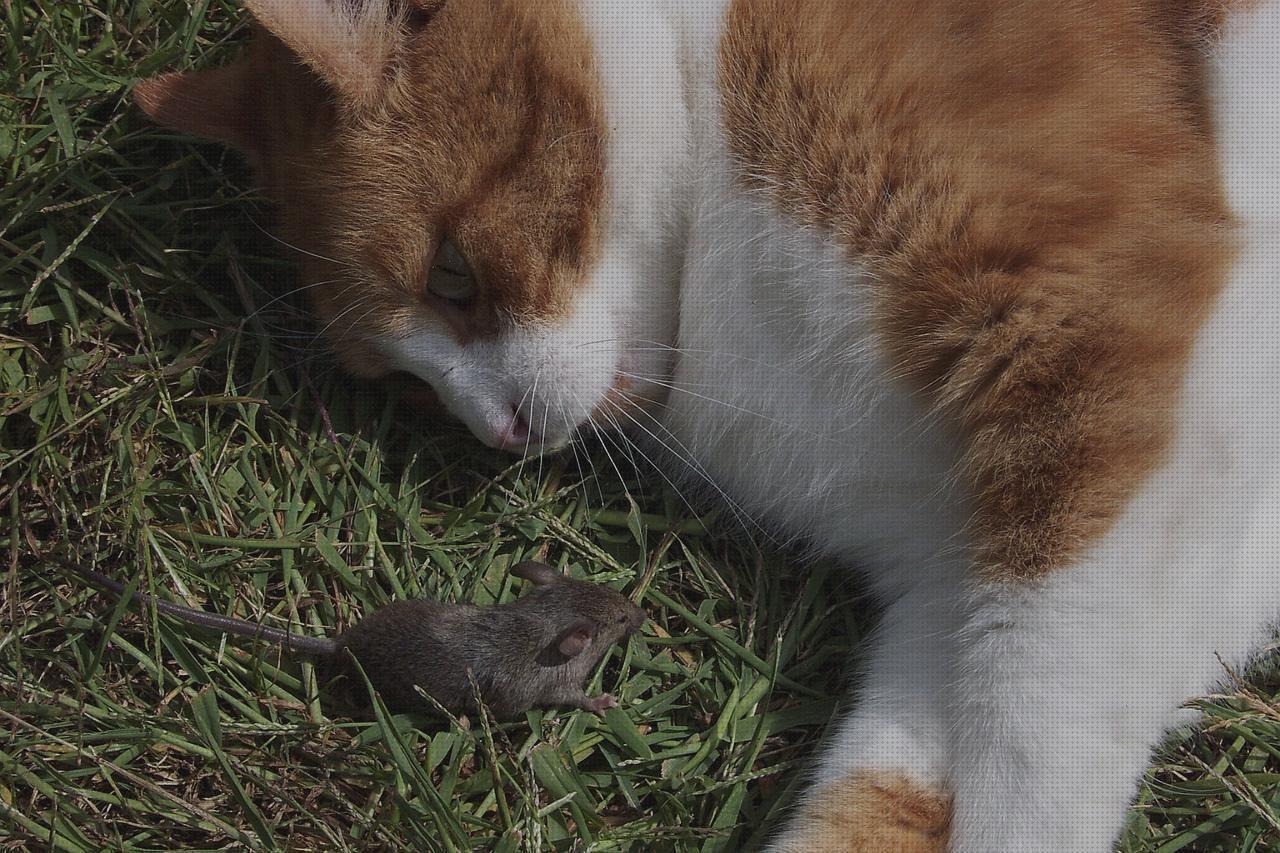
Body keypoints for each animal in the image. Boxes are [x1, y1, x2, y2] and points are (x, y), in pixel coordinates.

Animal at [137, 1, 1280, 850]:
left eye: (453, 276)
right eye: (403, 388)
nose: (499, 429)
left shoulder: (1091, 318)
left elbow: (1036, 741)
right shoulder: (952, 568)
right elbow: (892, 782)